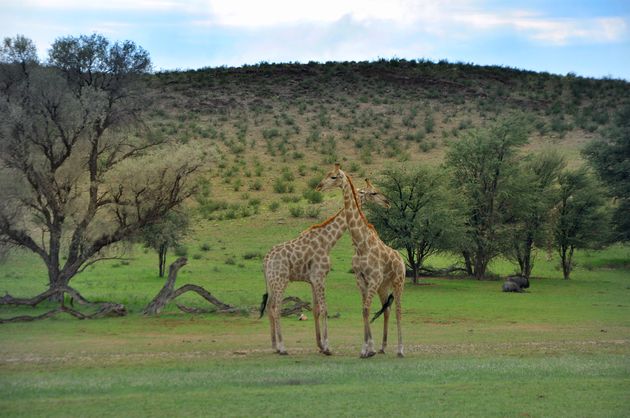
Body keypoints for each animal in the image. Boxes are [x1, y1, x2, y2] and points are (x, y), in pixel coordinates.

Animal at [260, 181, 392, 354]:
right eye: (374, 193)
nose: (387, 202)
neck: (328, 241)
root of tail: (266, 260)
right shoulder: (320, 276)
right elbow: (324, 309)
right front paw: (327, 347)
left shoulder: (313, 280)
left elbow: (316, 310)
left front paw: (320, 345)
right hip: (281, 280)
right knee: (276, 308)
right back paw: (282, 348)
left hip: (271, 282)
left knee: (269, 307)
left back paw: (275, 345)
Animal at [316, 165, 410, 358]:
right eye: (328, 175)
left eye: (334, 176)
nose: (319, 186)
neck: (360, 243)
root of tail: (401, 260)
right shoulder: (361, 279)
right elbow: (364, 310)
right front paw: (366, 349)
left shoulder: (373, 278)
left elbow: (366, 309)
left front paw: (368, 349)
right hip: (384, 286)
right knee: (387, 309)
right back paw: (383, 347)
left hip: (399, 282)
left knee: (398, 311)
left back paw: (400, 350)